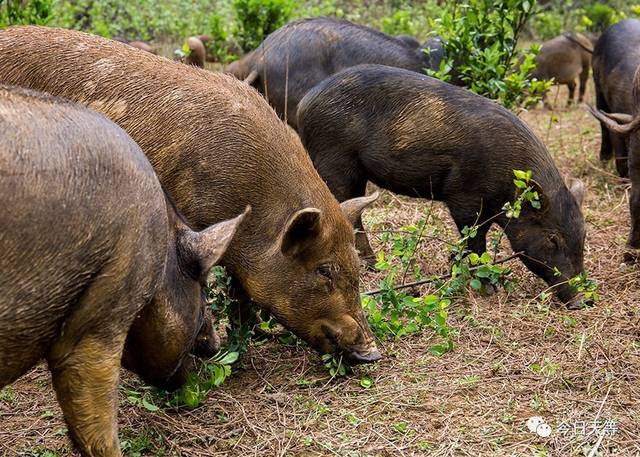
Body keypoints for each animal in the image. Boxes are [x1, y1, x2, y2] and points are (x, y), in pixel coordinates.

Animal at [298, 64, 588, 306]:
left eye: (583, 236)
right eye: (553, 238)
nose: (581, 301)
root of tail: (305, 102)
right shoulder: (463, 196)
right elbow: (475, 239)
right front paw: (488, 289)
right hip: (334, 161)